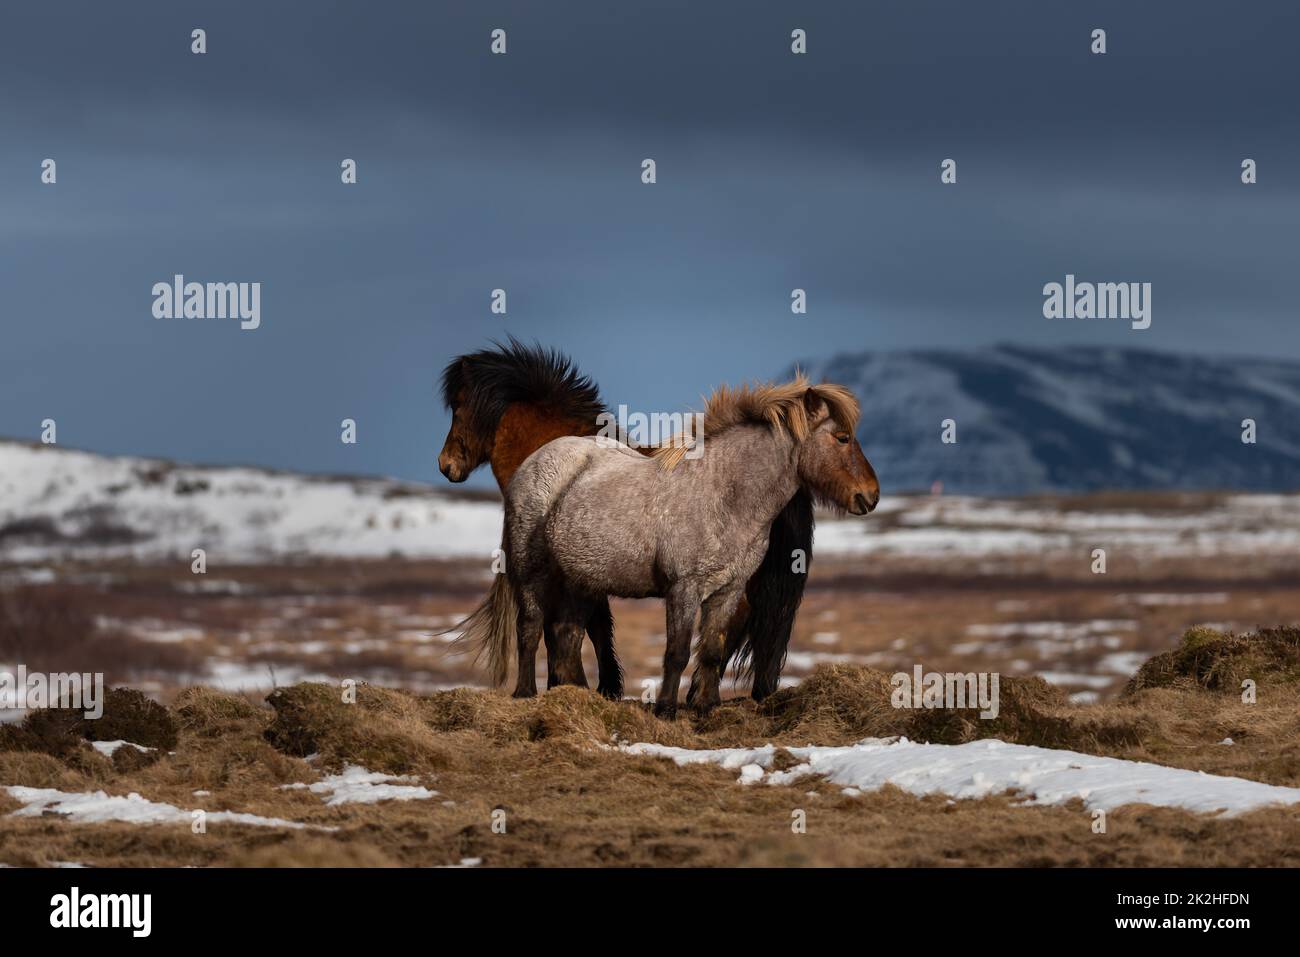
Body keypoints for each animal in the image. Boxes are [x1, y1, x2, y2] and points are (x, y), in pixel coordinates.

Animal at [472, 376, 880, 717]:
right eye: (842, 437)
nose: (871, 496)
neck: (725, 495)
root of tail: (534, 462)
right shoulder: (684, 589)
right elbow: (678, 651)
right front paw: (666, 709)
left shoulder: (729, 590)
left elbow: (712, 649)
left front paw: (706, 707)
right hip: (532, 572)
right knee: (530, 627)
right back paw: (525, 693)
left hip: (580, 581)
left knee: (566, 635)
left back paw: (577, 697)